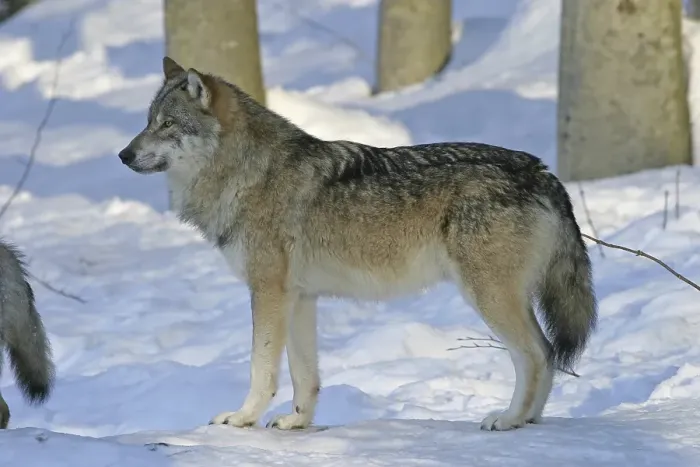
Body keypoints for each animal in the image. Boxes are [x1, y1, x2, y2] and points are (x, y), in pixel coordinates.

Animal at [117, 56, 598, 432]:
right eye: (147, 122)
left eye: (167, 124)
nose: (123, 155)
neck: (245, 173)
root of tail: (542, 172)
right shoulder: (299, 297)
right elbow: (303, 374)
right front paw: (297, 422)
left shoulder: (267, 292)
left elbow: (262, 368)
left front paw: (242, 418)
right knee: (548, 352)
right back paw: (529, 419)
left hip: (488, 298)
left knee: (536, 354)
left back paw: (509, 418)